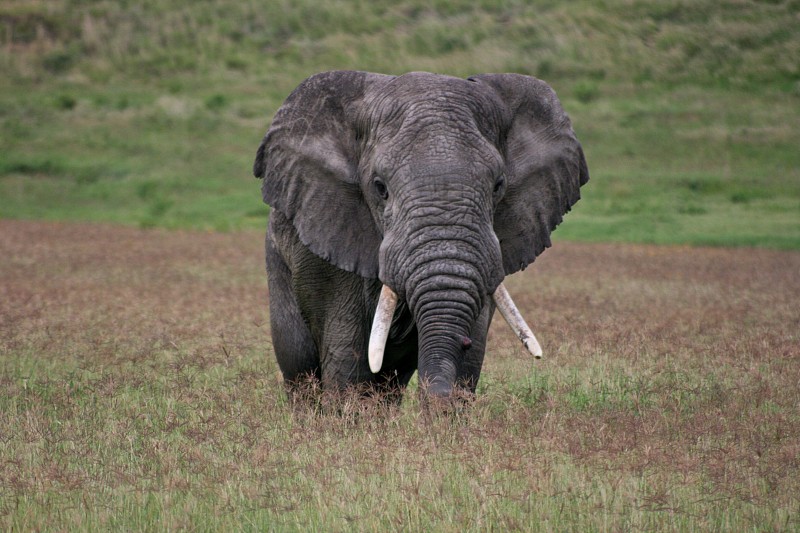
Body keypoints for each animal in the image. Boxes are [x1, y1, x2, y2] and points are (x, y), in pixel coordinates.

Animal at [253, 70, 592, 404]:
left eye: (499, 185)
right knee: (300, 367)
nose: (440, 394)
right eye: (380, 187)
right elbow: (348, 362)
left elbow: (472, 353)